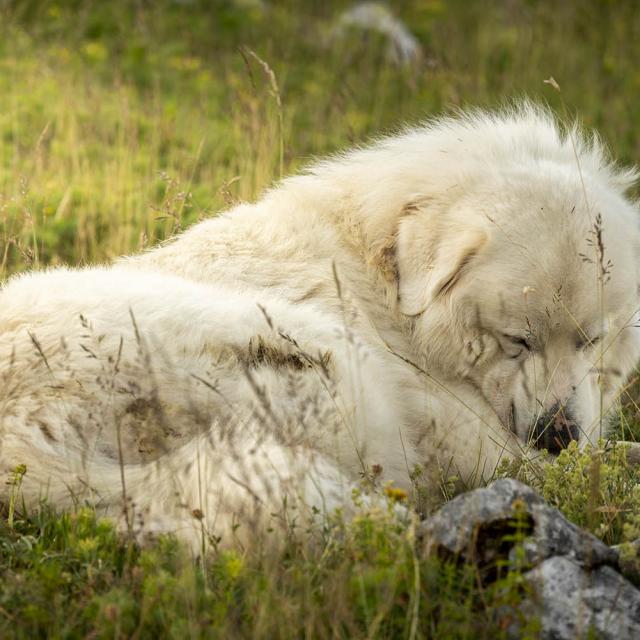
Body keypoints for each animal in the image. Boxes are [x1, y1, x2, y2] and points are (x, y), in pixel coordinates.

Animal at [1, 104, 640, 544]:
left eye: (591, 340)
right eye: (515, 341)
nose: (559, 434)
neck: (380, 272)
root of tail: (21, 445)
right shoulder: (458, 426)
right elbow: (558, 468)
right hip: (327, 365)